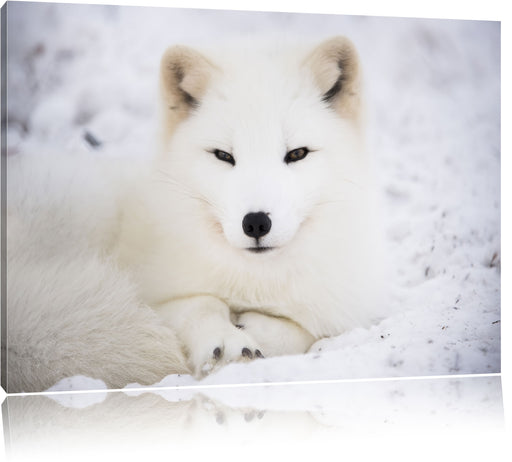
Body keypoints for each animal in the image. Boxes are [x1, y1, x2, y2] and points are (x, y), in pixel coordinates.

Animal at [5, 36, 384, 392]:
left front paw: (256, 330)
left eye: (297, 153)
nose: (256, 222)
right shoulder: (155, 295)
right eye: (223, 156)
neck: (255, 282)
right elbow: (199, 304)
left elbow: (304, 331)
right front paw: (227, 342)